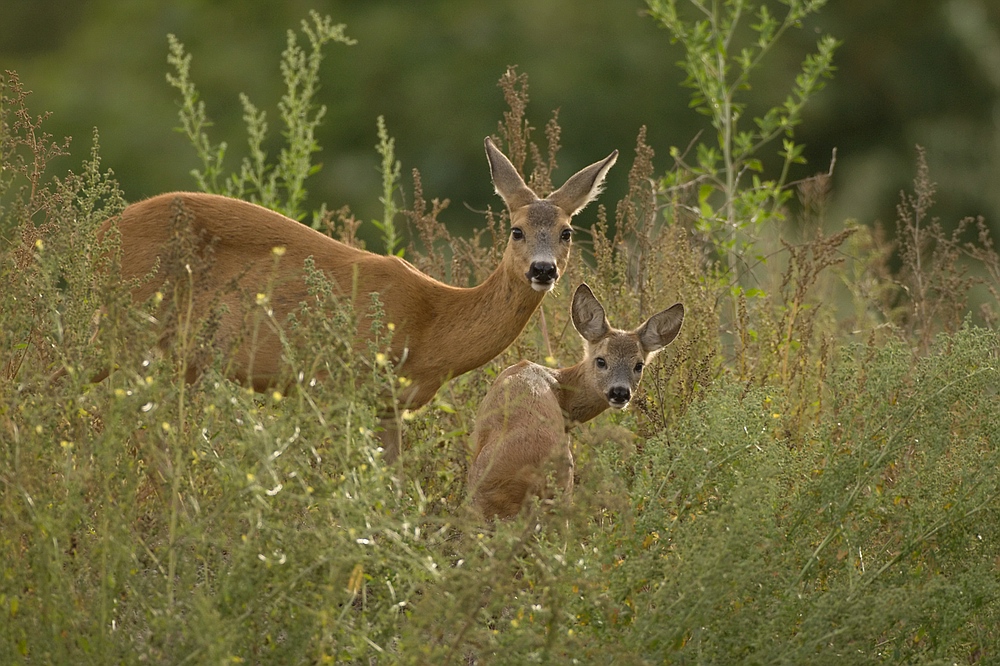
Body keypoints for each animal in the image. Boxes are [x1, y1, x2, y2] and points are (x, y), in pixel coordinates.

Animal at [103, 135, 616, 456]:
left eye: (567, 232)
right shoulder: (333, 384)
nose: (543, 269)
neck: (432, 324)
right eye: (516, 230)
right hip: (129, 324)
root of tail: (101, 229)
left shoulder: (391, 407)